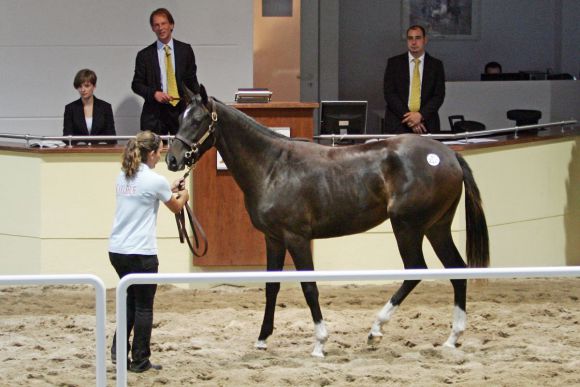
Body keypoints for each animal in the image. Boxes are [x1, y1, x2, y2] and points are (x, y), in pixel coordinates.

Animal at [167, 86, 490, 360]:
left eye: (197, 120)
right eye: (180, 117)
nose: (172, 159)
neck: (273, 166)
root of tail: (449, 155)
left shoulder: (296, 238)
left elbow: (309, 287)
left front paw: (320, 342)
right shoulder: (273, 239)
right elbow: (272, 286)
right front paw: (262, 339)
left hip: (408, 228)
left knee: (416, 270)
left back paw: (376, 331)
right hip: (436, 228)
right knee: (457, 270)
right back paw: (452, 338)